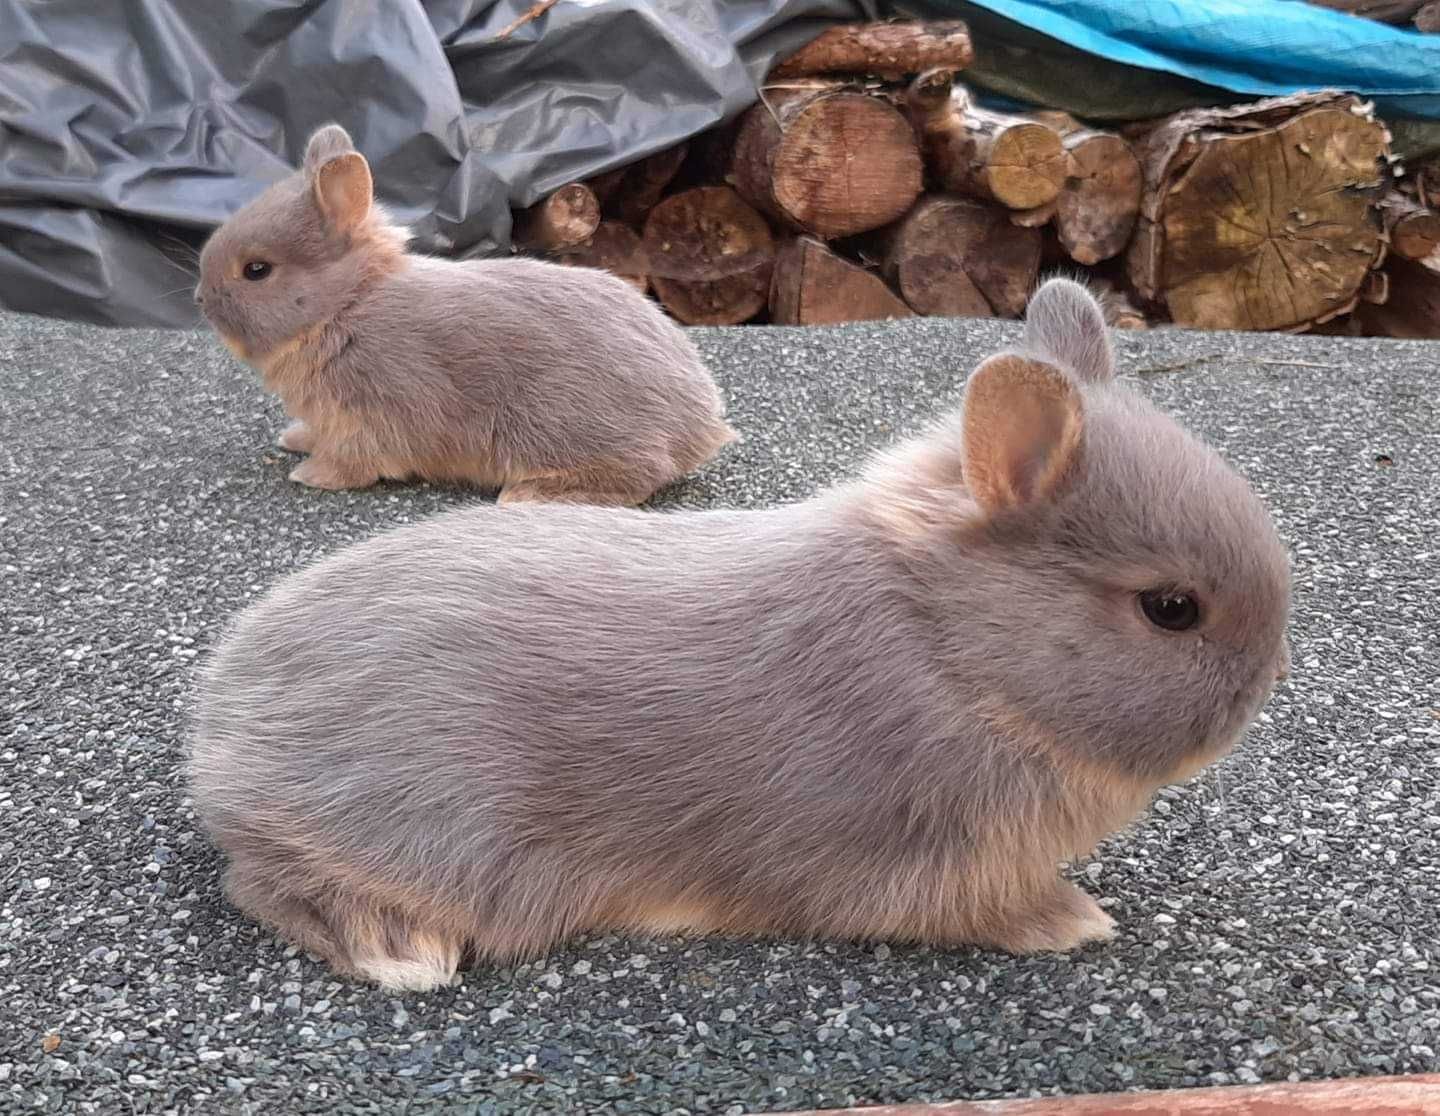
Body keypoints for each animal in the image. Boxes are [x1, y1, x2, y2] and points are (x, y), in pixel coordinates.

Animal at [188, 282, 1296, 996]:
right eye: (1172, 609)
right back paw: (401, 951)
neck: (950, 648)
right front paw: (1073, 922)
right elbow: (980, 910)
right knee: (262, 880)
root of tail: (222, 732)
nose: (1259, 694)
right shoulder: (927, 857)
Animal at [194, 124, 731, 504]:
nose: (200, 299)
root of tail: (701, 425)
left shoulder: (367, 415)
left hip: (555, 424)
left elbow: (353, 463)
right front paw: (294, 440)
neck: (344, 306)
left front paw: (310, 475)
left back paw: (527, 495)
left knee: (641, 473)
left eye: (257, 270)